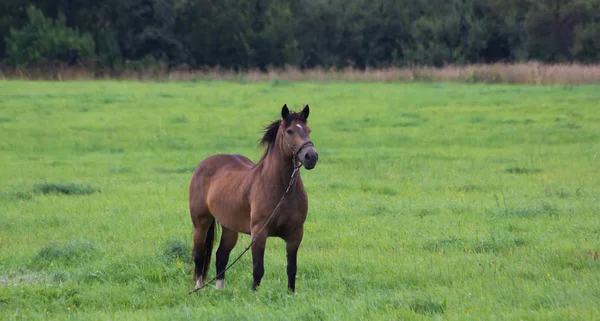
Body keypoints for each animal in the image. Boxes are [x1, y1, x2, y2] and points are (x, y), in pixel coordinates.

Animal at [190, 104, 316, 292]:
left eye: (308, 130)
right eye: (290, 131)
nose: (311, 157)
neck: (282, 190)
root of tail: (203, 165)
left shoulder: (295, 234)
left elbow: (292, 269)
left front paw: (290, 293)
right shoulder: (259, 233)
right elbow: (258, 269)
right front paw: (254, 293)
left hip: (230, 227)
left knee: (221, 256)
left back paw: (220, 291)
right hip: (201, 222)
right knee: (199, 255)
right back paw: (200, 289)